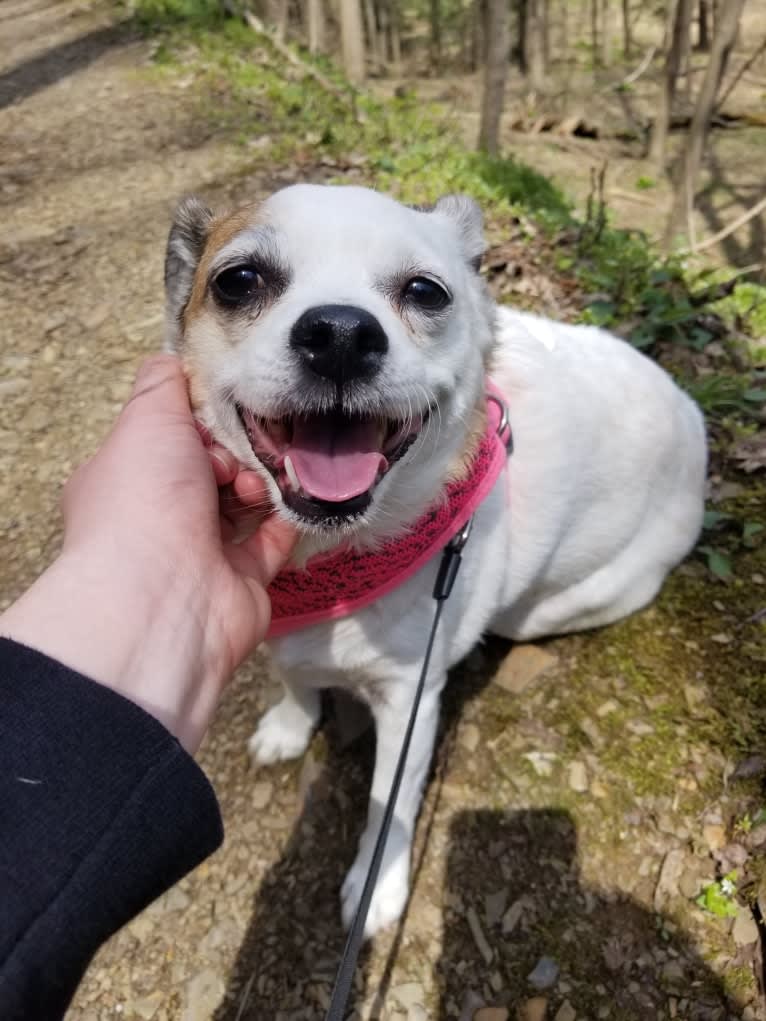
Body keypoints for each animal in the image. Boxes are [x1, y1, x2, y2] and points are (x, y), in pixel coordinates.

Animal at [165, 181, 710, 935]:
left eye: (425, 291)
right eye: (237, 281)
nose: (341, 334)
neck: (332, 564)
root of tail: (696, 418)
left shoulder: (409, 701)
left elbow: (388, 804)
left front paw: (376, 887)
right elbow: (296, 677)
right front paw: (290, 723)